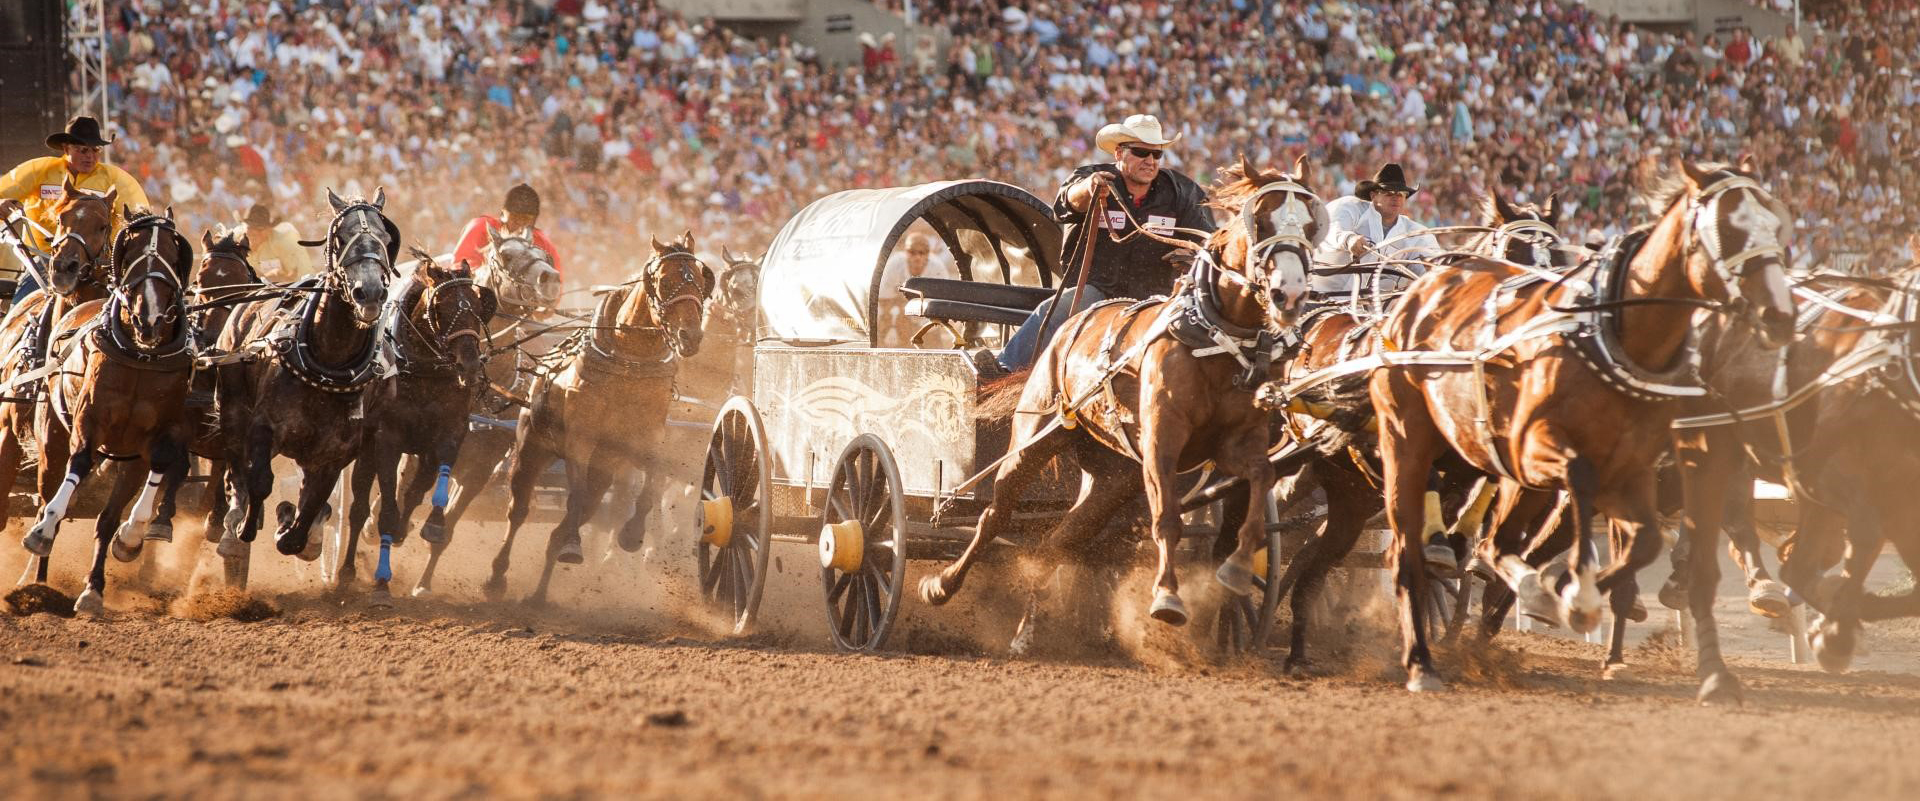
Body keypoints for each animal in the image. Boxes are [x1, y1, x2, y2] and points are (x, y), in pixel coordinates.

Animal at [16, 207, 194, 610]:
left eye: (173, 253)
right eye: (130, 252)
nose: (149, 317)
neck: (142, 355)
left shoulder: (155, 436)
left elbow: (153, 473)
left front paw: (128, 541)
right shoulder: (89, 420)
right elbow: (78, 465)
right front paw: (42, 533)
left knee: (104, 515)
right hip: (51, 439)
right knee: (46, 495)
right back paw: (35, 578)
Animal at [345, 249, 495, 599]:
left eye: (477, 305)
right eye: (441, 306)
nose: (469, 364)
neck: (424, 370)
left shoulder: (450, 432)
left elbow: (431, 485)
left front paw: (434, 525)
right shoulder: (388, 440)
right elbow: (386, 508)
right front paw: (382, 580)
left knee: (413, 491)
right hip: (366, 450)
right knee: (358, 507)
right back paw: (346, 571)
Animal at [480, 230, 714, 599]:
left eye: (702, 282)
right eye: (663, 281)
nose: (689, 337)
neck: (629, 364)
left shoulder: (645, 440)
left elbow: (653, 483)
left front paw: (632, 534)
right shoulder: (581, 439)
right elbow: (573, 494)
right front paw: (574, 545)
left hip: (603, 473)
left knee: (577, 515)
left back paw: (540, 593)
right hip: (532, 450)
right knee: (519, 511)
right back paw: (498, 575)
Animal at [921, 154, 1328, 630]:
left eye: (1309, 225)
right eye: (1260, 221)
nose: (1291, 293)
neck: (1213, 337)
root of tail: (1069, 326)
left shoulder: (1236, 444)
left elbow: (1261, 481)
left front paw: (1236, 569)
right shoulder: (1162, 441)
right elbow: (1166, 518)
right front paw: (1167, 597)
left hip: (1111, 477)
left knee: (1059, 540)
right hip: (1033, 440)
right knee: (994, 515)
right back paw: (941, 586)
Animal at [1367, 159, 1797, 691]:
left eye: (1778, 226)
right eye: (1729, 229)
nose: (1778, 313)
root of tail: (1415, 298)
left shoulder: (1635, 472)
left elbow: (1654, 544)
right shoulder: (1545, 454)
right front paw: (1569, 601)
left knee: (1495, 540)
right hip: (1407, 439)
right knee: (1411, 548)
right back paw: (1425, 654)